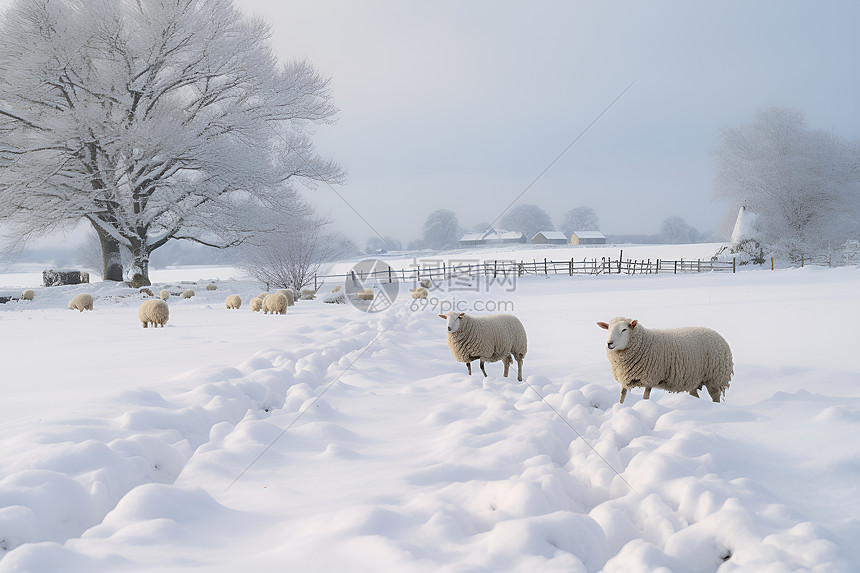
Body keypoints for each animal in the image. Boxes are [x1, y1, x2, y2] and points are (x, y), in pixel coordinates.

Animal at [596, 316, 732, 404]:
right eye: (608, 329)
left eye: (624, 329)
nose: (609, 343)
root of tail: (718, 336)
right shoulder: (626, 379)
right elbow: (621, 398)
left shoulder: (650, 378)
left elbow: (645, 397)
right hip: (693, 379)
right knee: (694, 394)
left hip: (714, 378)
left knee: (715, 398)